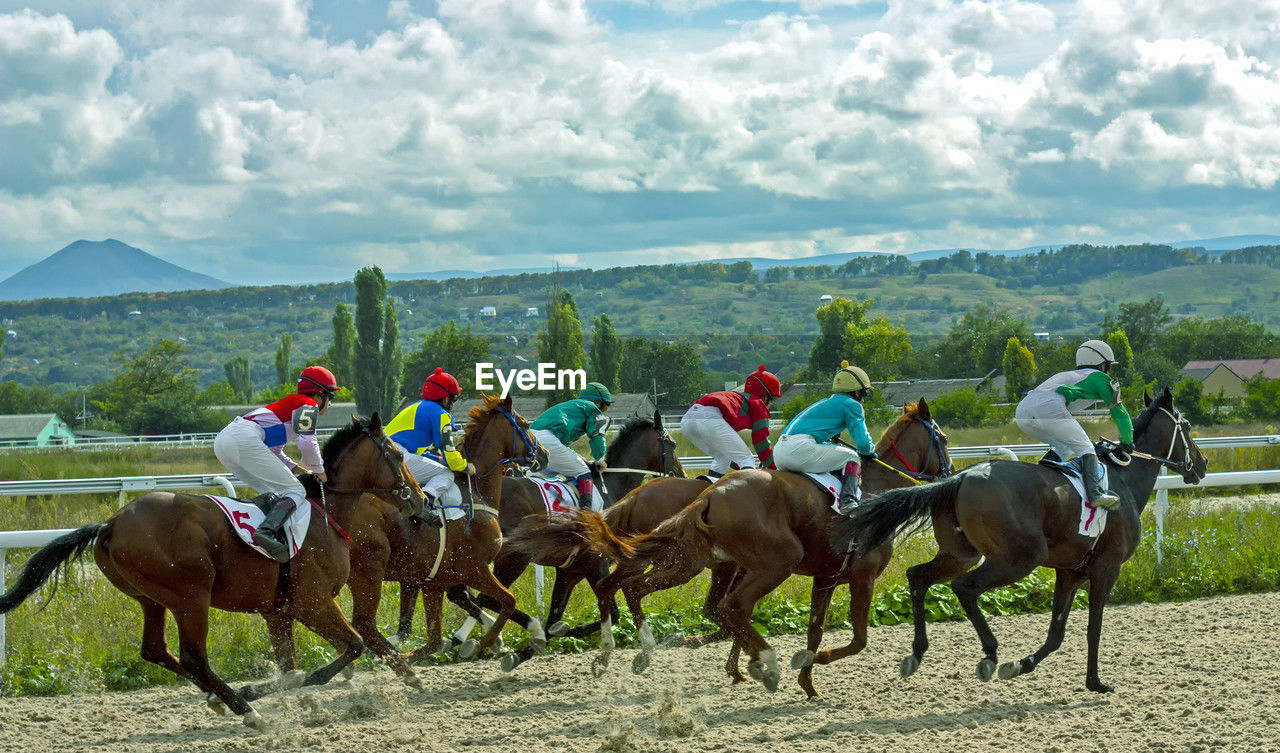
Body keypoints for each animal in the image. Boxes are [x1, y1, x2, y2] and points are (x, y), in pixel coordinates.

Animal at [0, 414, 424, 727]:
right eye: (399, 455)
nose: (420, 500)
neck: (325, 513)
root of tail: (110, 524)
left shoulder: (279, 610)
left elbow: (290, 669)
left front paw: (277, 690)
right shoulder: (312, 602)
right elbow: (351, 647)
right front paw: (264, 692)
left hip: (151, 598)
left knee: (156, 650)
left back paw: (220, 698)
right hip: (191, 596)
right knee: (192, 657)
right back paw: (246, 711)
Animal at [509, 396, 952, 696]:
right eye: (944, 439)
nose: (949, 472)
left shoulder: (822, 575)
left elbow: (808, 629)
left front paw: (798, 680)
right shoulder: (859, 575)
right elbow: (853, 637)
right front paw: (765, 666)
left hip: (681, 561)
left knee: (618, 590)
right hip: (735, 563)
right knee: (645, 593)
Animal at [824, 391, 1203, 691]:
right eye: (1186, 426)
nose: (1201, 465)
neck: (1122, 480)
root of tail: (959, 478)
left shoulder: (1069, 572)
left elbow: (1057, 632)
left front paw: (1023, 664)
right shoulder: (1106, 569)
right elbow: (1093, 628)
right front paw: (1096, 683)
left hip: (960, 554)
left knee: (918, 577)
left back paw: (918, 653)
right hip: (1020, 558)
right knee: (964, 587)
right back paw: (990, 653)